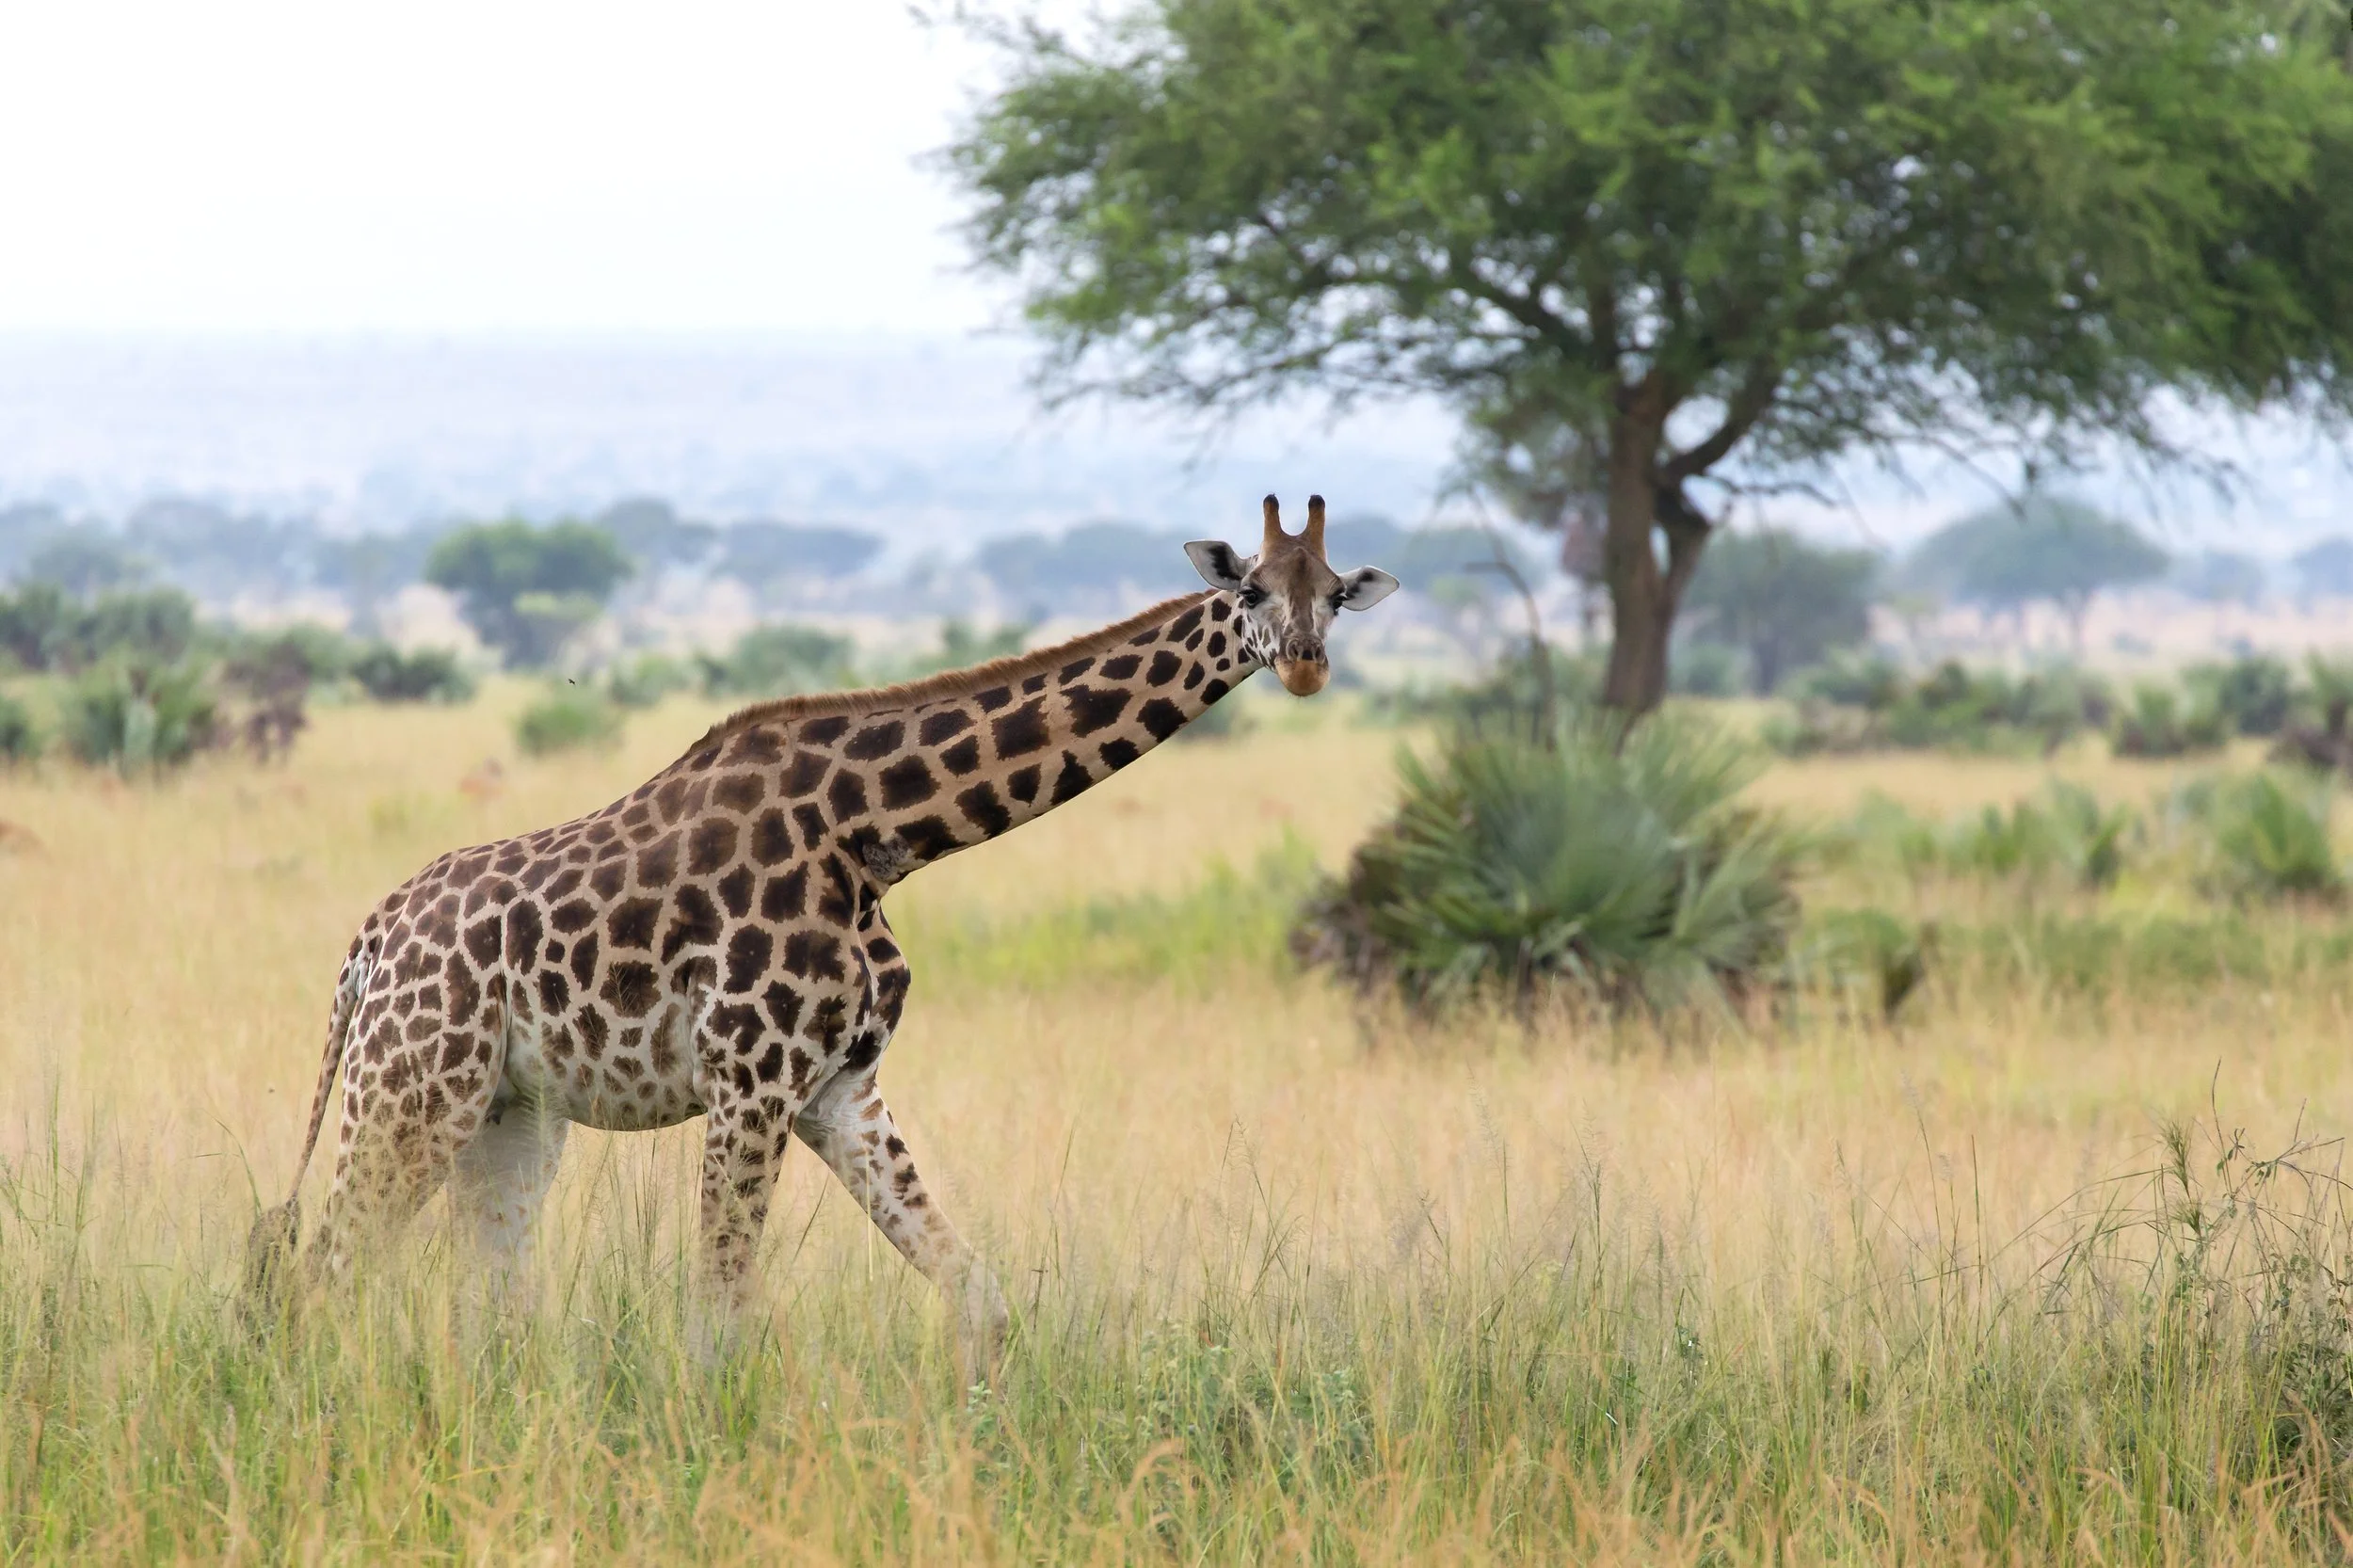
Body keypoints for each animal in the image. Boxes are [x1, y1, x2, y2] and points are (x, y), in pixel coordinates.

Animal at [247, 495, 1398, 1362]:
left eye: (1336, 594)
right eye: (1248, 590)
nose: (1303, 661)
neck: (876, 837)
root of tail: (367, 946)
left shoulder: (840, 1086)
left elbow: (982, 1298)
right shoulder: (750, 1080)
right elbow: (715, 1322)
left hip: (510, 1115)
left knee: (484, 1299)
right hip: (411, 1092)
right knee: (323, 1274)